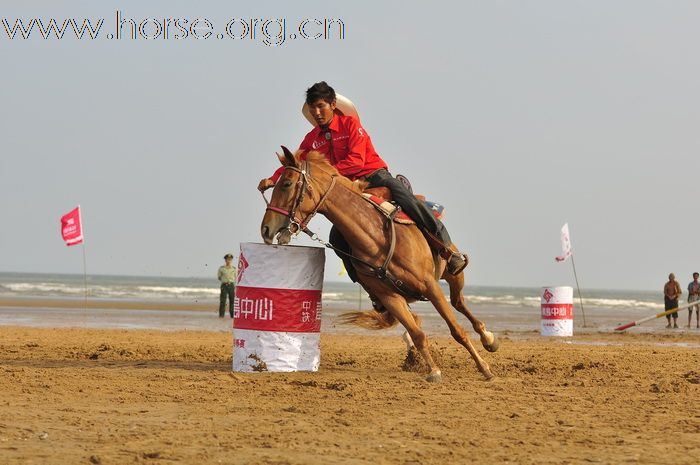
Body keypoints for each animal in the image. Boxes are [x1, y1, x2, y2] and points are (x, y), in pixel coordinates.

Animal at [258, 148, 498, 380]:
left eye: (287, 184)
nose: (266, 229)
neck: (376, 238)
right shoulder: (389, 297)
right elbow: (418, 335)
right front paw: (433, 371)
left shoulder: (430, 286)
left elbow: (457, 330)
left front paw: (484, 368)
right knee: (420, 320)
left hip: (452, 273)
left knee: (458, 301)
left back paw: (488, 338)